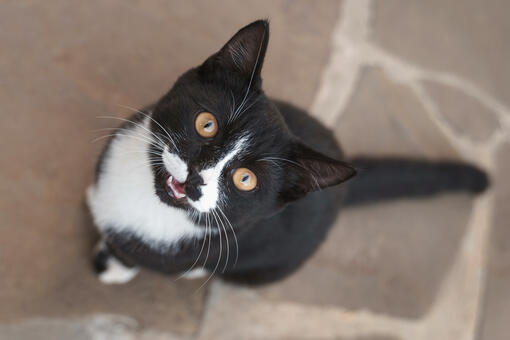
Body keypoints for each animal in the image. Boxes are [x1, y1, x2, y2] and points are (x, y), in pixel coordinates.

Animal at [85, 18, 488, 284]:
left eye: (245, 179)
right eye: (206, 124)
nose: (197, 175)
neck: (149, 204)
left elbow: (135, 256)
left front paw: (112, 264)